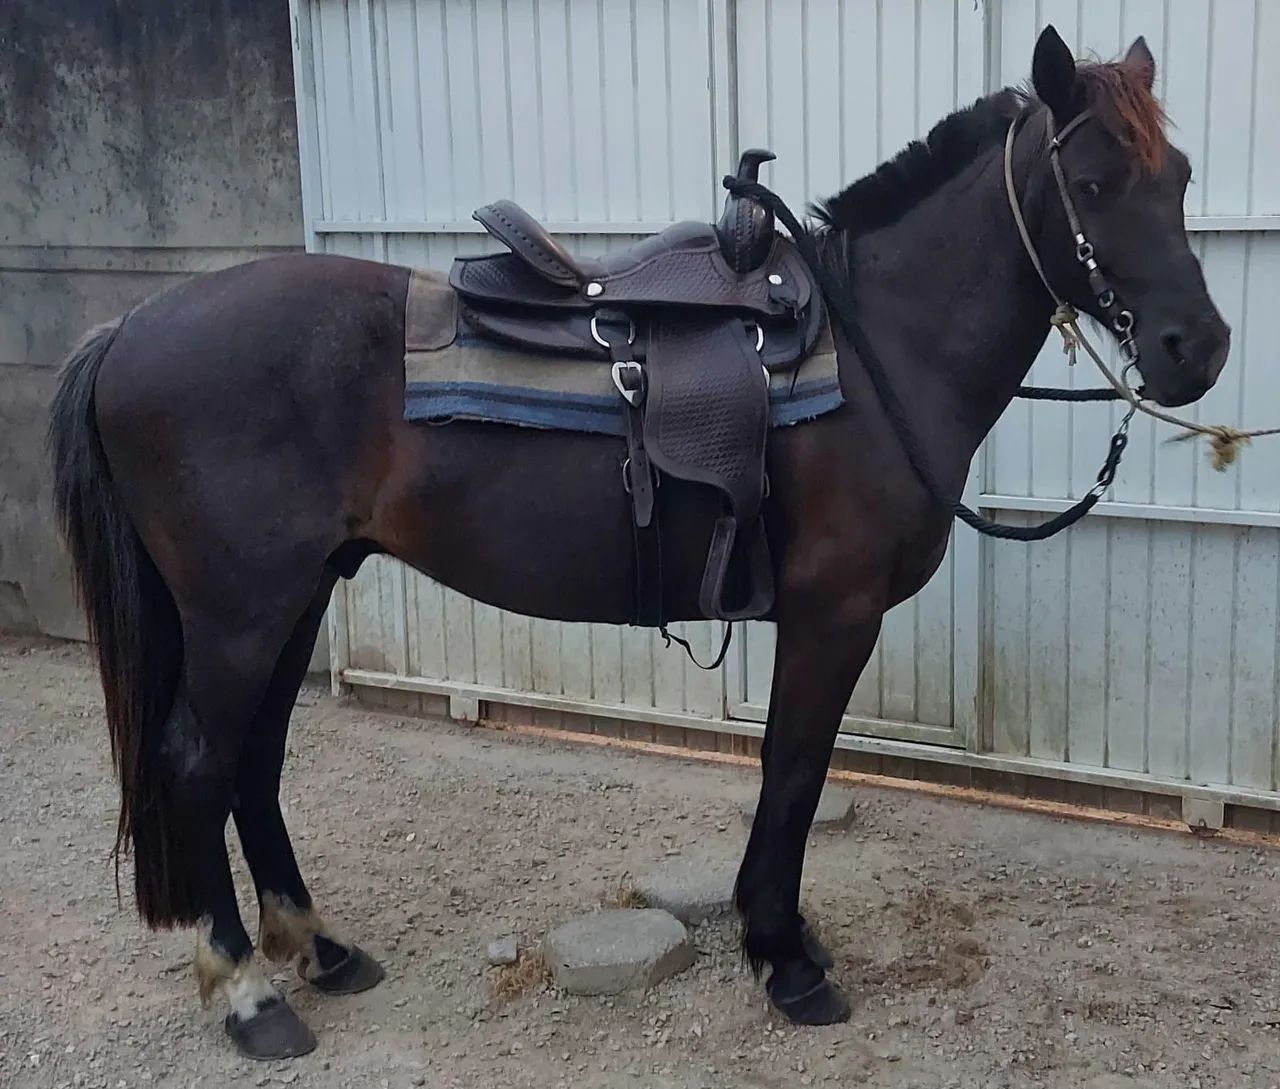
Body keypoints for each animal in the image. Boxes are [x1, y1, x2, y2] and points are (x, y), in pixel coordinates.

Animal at [48, 26, 1229, 1059]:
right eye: (1091, 185)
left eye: (1174, 177)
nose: (1199, 349)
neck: (874, 349)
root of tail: (131, 327)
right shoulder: (831, 614)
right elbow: (793, 771)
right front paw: (784, 959)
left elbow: (790, 772)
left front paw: (780, 940)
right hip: (242, 611)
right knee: (199, 764)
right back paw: (250, 995)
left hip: (293, 599)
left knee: (255, 759)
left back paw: (323, 951)